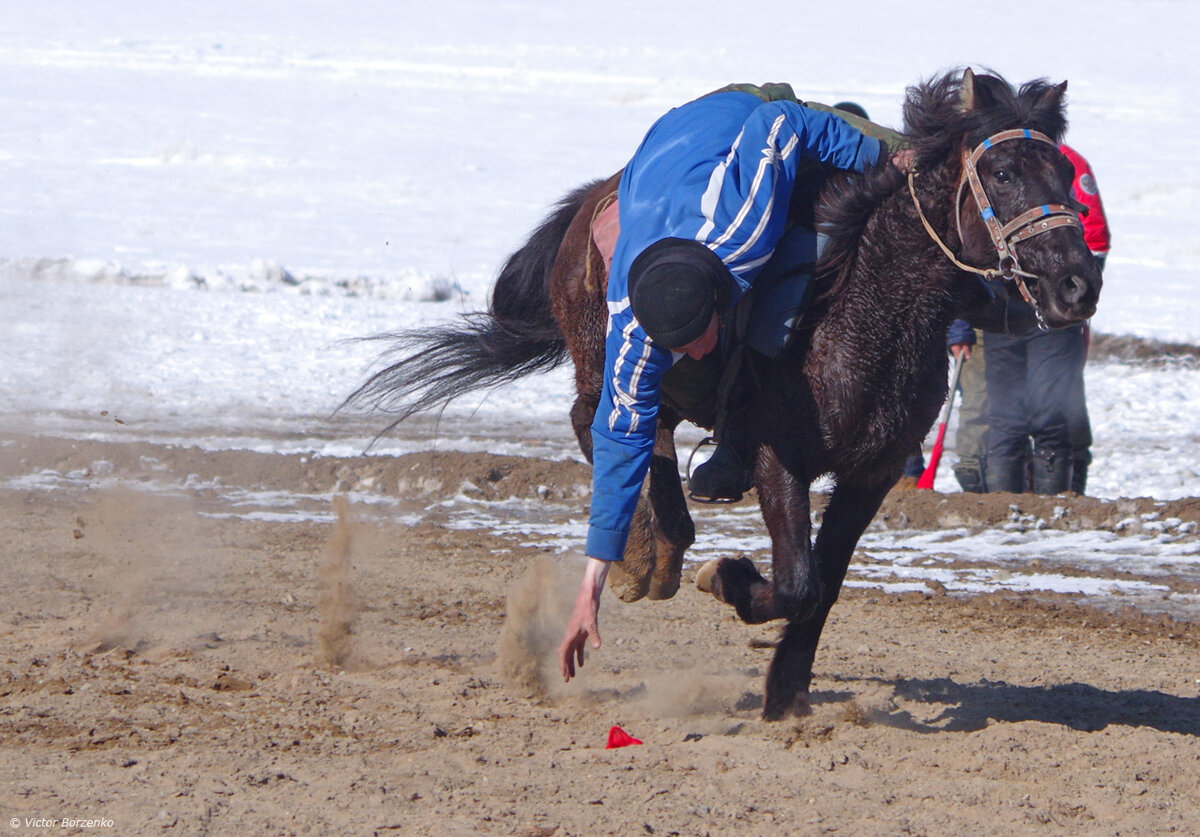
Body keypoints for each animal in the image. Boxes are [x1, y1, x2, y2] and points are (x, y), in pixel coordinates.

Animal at [345, 68, 1099, 719]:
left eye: (1066, 174)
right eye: (1003, 172)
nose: (1077, 285)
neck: (864, 305)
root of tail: (593, 199)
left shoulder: (874, 471)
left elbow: (824, 584)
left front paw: (788, 689)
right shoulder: (779, 455)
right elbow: (797, 581)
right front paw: (728, 579)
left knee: (643, 430)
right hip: (603, 351)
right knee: (599, 421)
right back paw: (645, 554)